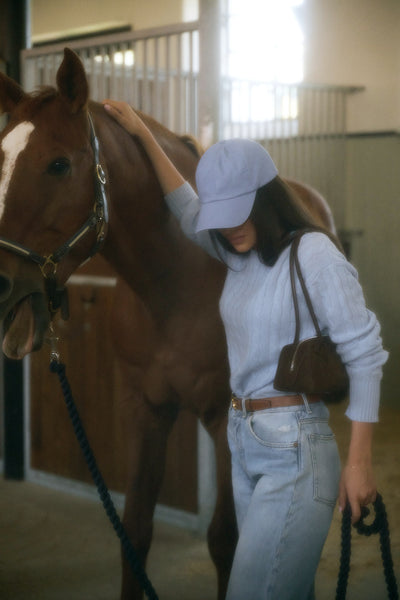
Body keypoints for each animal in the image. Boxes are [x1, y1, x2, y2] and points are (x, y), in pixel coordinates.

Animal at [0, 49, 338, 596]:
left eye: (58, 165)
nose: (0, 281)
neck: (176, 282)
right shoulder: (145, 408)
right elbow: (135, 530)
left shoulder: (225, 417)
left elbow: (227, 539)